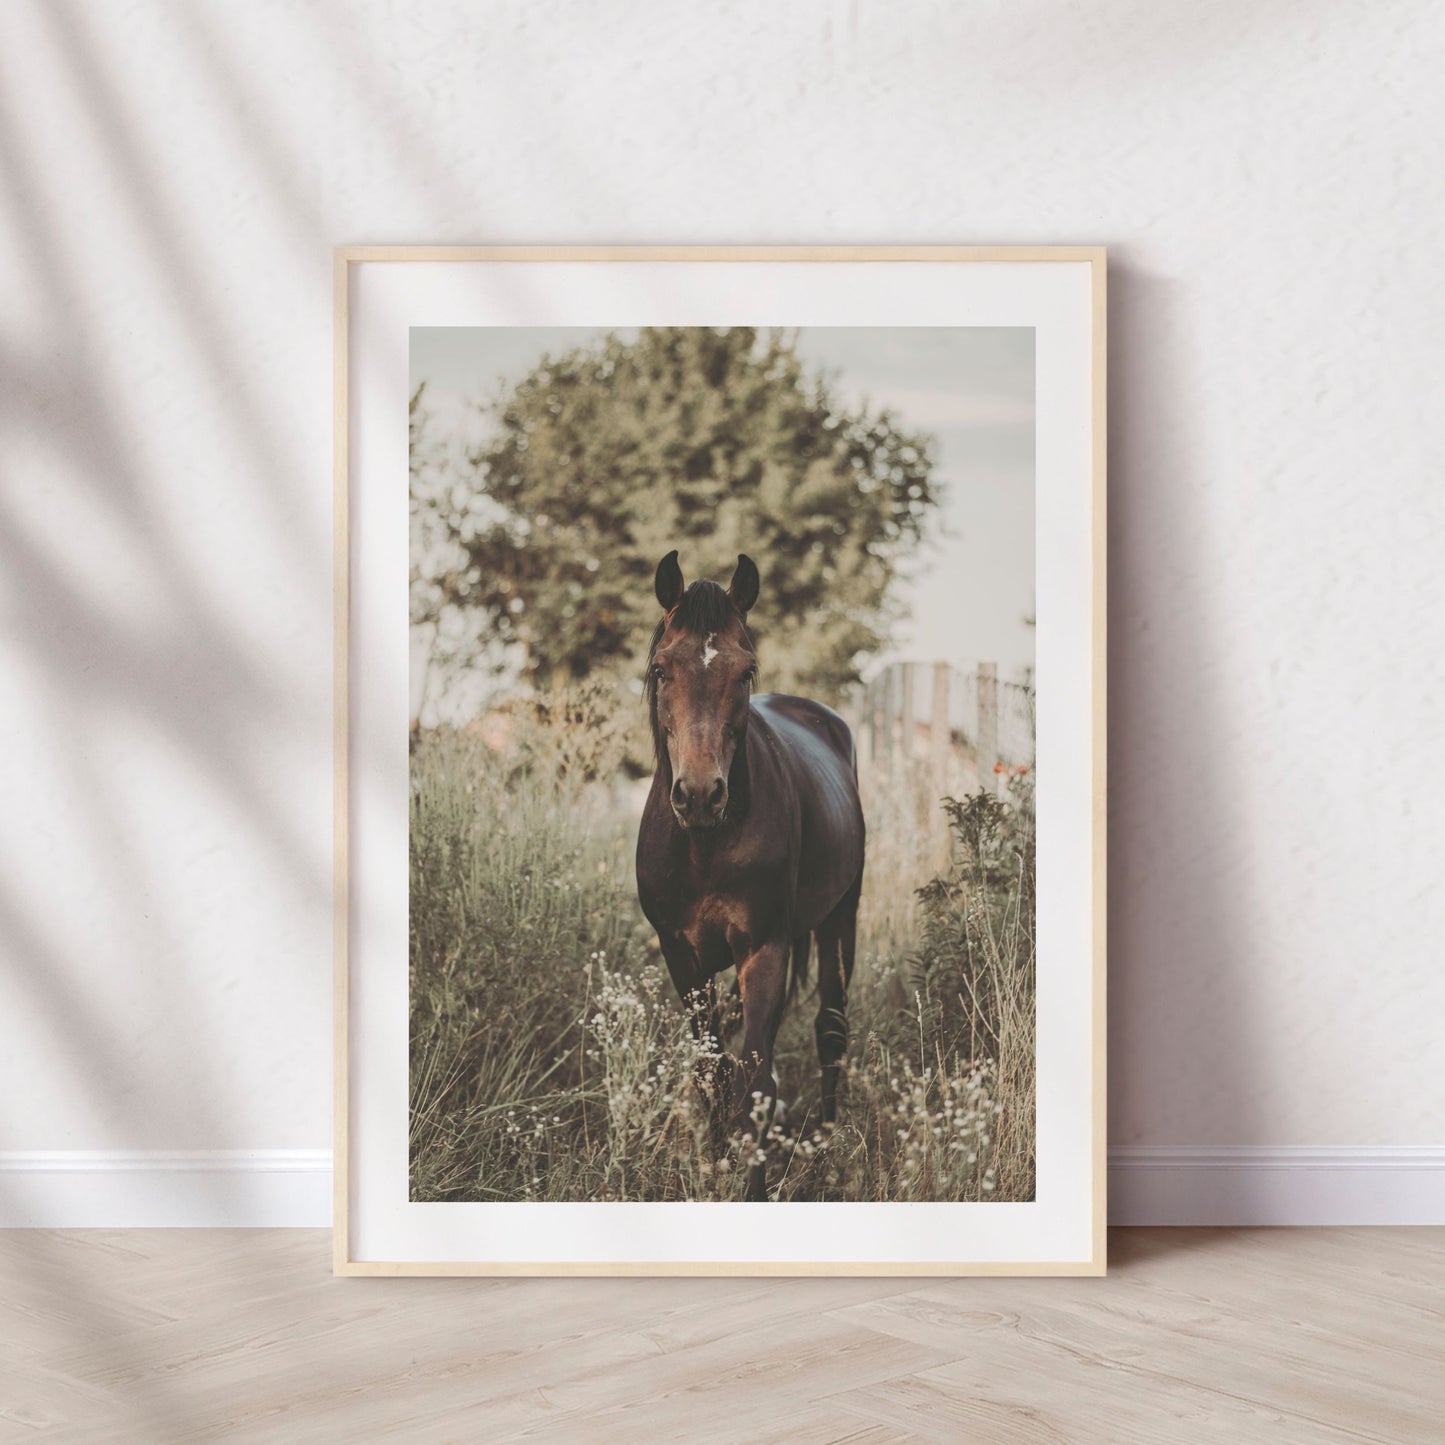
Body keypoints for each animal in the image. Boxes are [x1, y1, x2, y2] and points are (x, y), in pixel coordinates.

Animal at [635, 550, 866, 1201]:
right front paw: (714, 1166)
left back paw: (825, 1149)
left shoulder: (765, 948)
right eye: (661, 669)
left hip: (841, 919)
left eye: (746, 671)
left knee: (831, 1032)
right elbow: (711, 1071)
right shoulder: (681, 956)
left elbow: (757, 1085)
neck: (705, 845)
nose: (699, 794)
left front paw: (754, 1187)